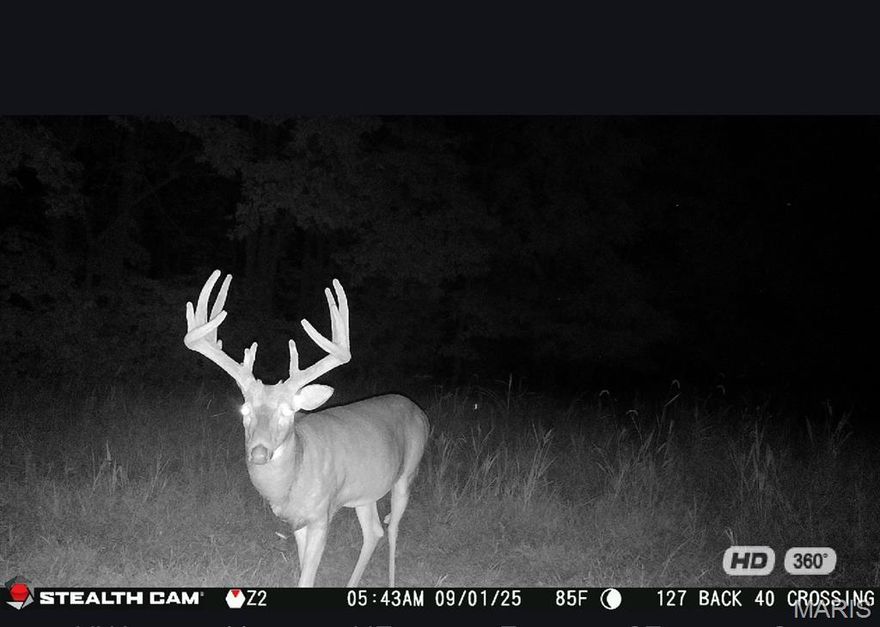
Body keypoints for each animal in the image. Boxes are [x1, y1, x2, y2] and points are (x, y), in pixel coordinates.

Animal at [184, 270, 429, 587]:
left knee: (393, 528)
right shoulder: (297, 521)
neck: (294, 479)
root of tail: (419, 411)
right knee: (374, 531)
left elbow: (307, 575)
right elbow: (305, 575)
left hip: (408, 472)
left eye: (288, 411)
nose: (259, 452)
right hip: (366, 490)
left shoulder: (321, 515)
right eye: (245, 410)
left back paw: (391, 581)